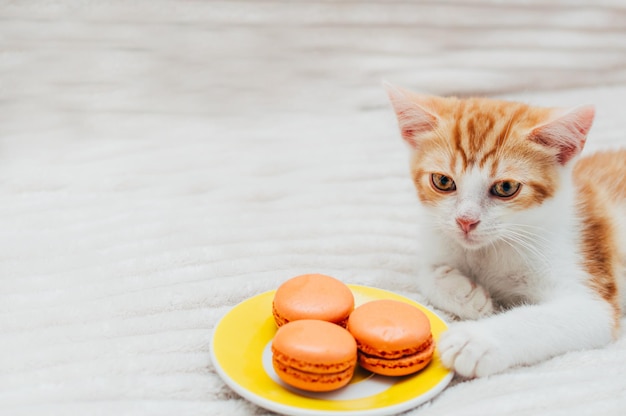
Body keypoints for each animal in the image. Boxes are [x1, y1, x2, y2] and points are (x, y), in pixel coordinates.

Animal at [388, 84, 620, 376]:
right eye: (442, 181)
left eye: (506, 187)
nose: (465, 221)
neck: (492, 248)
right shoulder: (438, 232)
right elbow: (424, 271)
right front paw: (462, 292)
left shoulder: (591, 290)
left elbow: (549, 318)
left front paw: (475, 340)